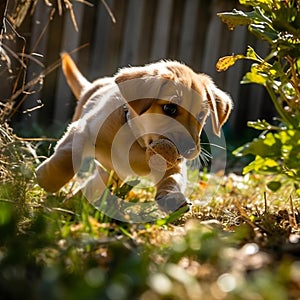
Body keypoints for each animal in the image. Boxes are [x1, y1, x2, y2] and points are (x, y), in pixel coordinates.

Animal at [35, 54, 232, 213]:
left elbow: (172, 179)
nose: (190, 150)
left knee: (99, 182)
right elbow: (67, 157)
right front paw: (49, 179)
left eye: (201, 115)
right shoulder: (82, 130)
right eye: (169, 108)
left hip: (114, 171)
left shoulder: (170, 165)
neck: (136, 140)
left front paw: (172, 197)